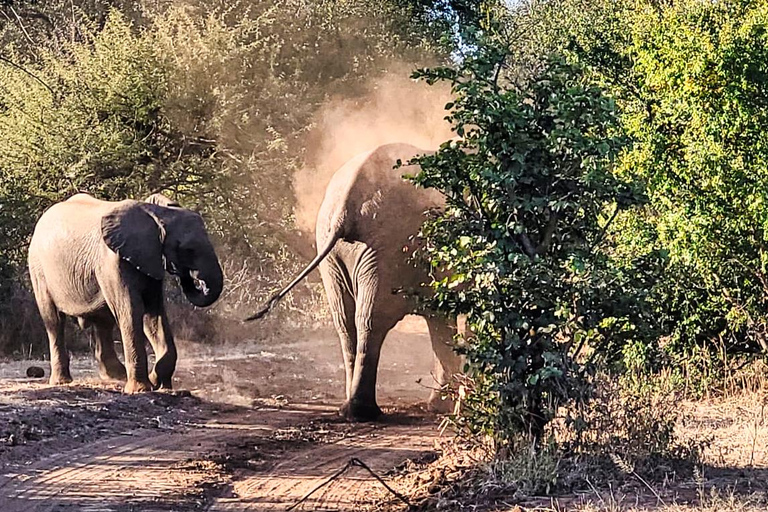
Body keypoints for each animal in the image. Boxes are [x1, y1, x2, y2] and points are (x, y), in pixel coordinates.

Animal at [28, 192, 224, 392]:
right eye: (188, 250)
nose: (190, 277)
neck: (157, 214)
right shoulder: (113, 262)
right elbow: (132, 311)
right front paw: (142, 389)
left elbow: (154, 314)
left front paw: (158, 383)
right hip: (38, 267)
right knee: (54, 320)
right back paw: (62, 381)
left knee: (103, 322)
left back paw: (116, 376)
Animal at [248, 143, 462, 420]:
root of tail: (345, 206)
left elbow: (441, 319)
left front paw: (442, 406)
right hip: (388, 246)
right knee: (371, 319)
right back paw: (363, 412)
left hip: (334, 247)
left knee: (345, 320)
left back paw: (349, 410)